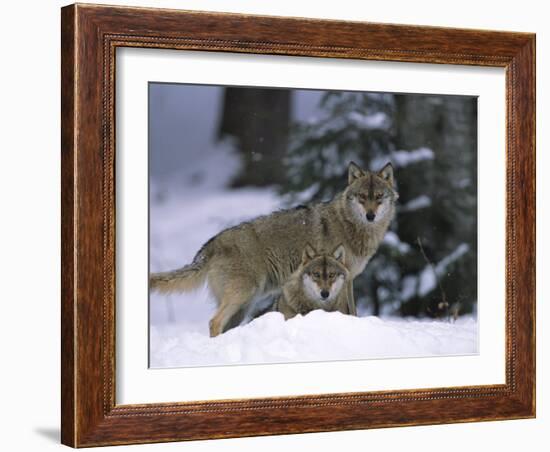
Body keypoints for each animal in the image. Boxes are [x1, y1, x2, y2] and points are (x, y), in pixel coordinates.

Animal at [151, 162, 402, 336]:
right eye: (362, 197)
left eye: (379, 197)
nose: (370, 215)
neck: (350, 226)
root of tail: (210, 244)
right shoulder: (345, 279)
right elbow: (352, 310)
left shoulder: (347, 279)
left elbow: (351, 310)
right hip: (243, 295)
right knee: (214, 322)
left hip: (244, 305)